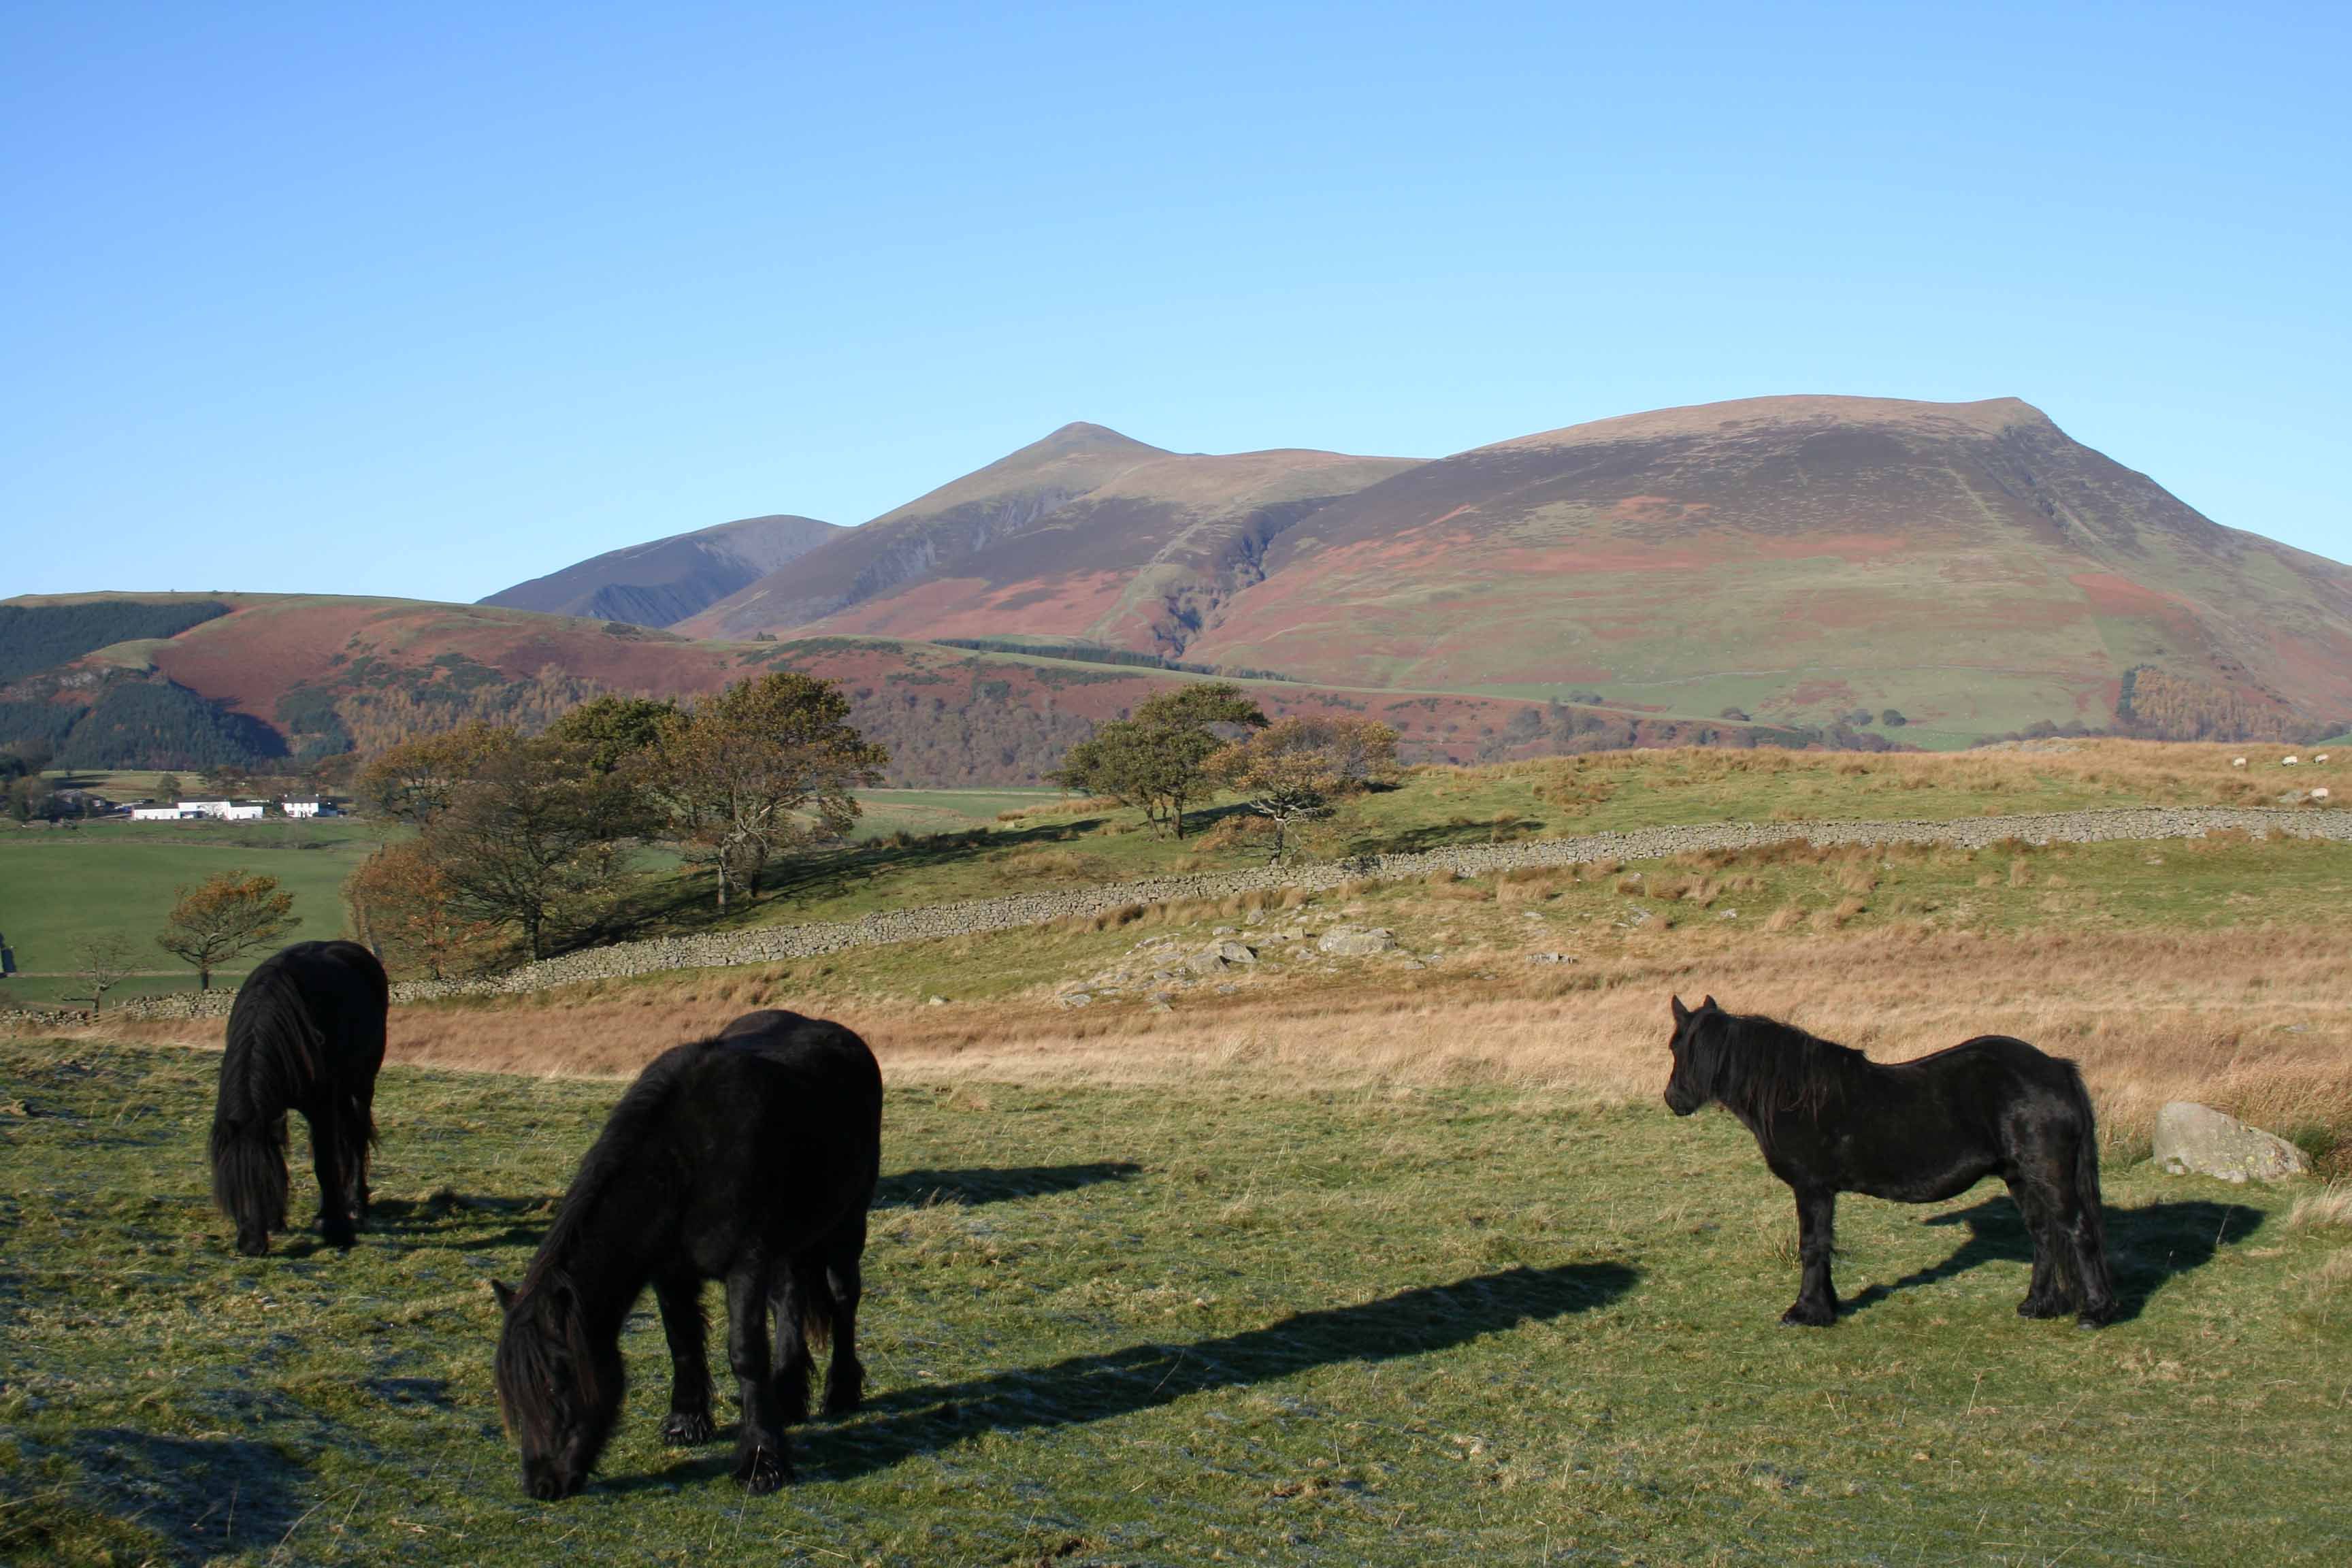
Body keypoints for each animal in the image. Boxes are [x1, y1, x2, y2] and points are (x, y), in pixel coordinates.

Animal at [210, 939, 390, 1257]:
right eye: (232, 1186)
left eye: (266, 1183)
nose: (252, 1246)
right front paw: (280, 1221)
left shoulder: (320, 1105)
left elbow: (324, 1164)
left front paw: (336, 1230)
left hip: (361, 1085)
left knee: (355, 1140)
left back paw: (355, 1207)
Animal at [492, 1009, 882, 1500]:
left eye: (556, 1384)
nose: (542, 1485)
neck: (686, 1161)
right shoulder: (670, 1271)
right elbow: (681, 1340)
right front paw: (686, 1422)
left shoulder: (746, 1264)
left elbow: (745, 1353)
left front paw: (762, 1462)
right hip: (790, 1242)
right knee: (789, 1302)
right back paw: (789, 1396)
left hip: (847, 1225)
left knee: (845, 1300)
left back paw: (841, 1393)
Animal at [1662, 996, 2116, 1328]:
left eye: (1682, 1049)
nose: (1673, 1100)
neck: (1796, 1096)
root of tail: (2056, 1068)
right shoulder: (1824, 1192)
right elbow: (1824, 1244)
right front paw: (1827, 1306)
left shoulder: (1812, 1188)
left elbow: (1812, 1246)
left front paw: (1805, 1312)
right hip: (2019, 1177)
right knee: (2044, 1235)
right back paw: (2037, 1306)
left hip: (2048, 1175)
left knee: (2078, 1231)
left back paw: (2095, 1313)